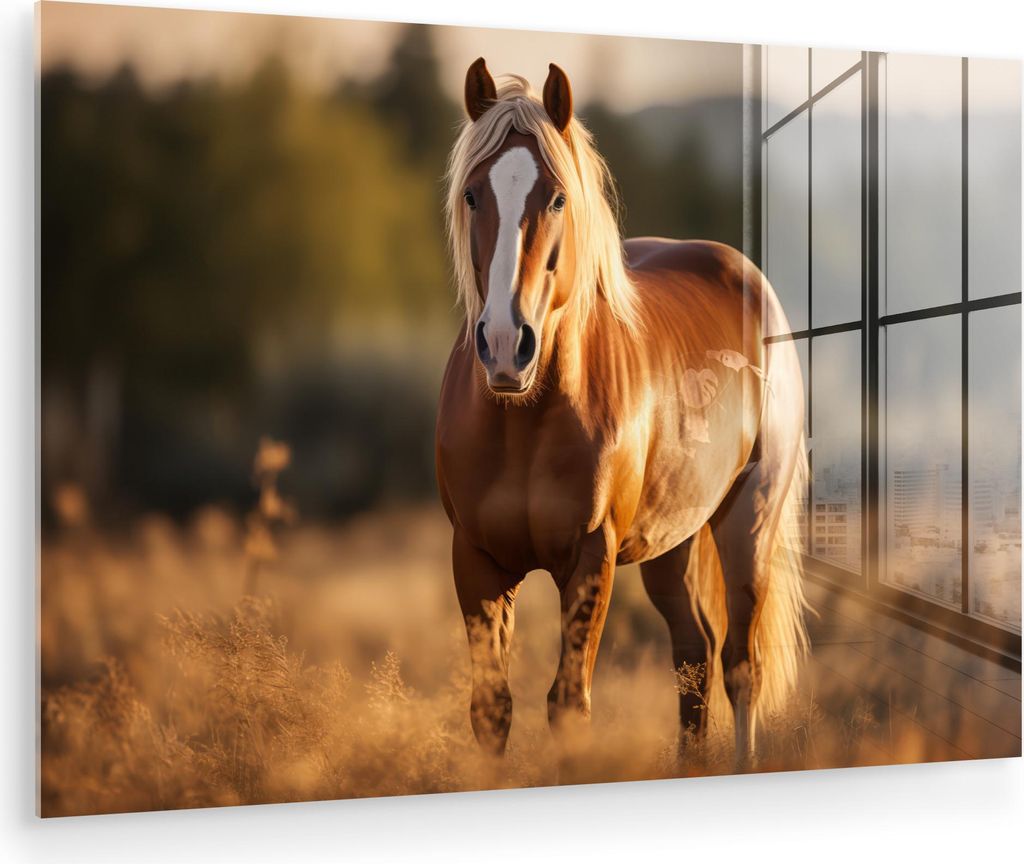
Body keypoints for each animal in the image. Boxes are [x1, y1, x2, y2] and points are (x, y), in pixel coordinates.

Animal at [435, 58, 809, 768]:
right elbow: (490, 710)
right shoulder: (476, 558)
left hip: (747, 523)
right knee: (694, 656)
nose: (505, 342)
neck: (523, 418)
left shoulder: (591, 556)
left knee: (740, 666)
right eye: (472, 195)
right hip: (672, 544)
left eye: (557, 198)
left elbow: (568, 705)